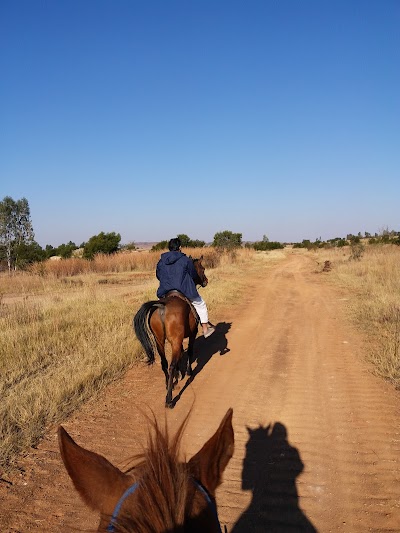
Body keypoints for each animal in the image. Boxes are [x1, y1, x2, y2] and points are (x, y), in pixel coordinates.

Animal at [133, 256, 208, 408]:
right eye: (202, 269)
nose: (206, 281)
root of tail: (162, 306)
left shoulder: (176, 340)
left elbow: (179, 355)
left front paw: (178, 375)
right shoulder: (192, 333)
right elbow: (189, 351)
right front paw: (188, 372)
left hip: (159, 341)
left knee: (164, 363)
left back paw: (169, 384)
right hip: (174, 339)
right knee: (171, 365)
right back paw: (169, 399)